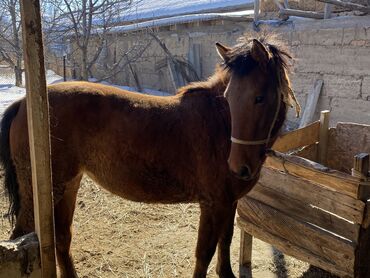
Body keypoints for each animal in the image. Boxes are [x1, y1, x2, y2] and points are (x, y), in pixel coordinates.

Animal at [0, 35, 300, 276]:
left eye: (259, 97)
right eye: (229, 97)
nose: (239, 167)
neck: (220, 125)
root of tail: (24, 103)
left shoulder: (230, 202)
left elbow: (225, 243)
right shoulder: (213, 204)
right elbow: (204, 254)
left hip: (68, 186)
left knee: (62, 238)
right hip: (43, 192)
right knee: (23, 237)